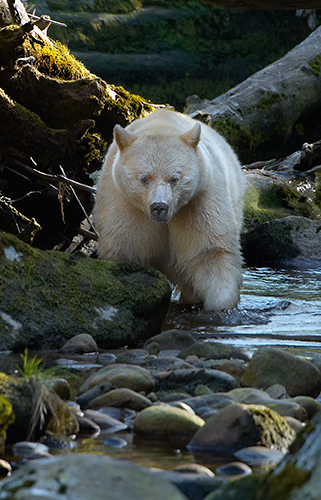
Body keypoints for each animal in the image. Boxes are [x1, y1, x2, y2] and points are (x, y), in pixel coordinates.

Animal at [94, 110, 244, 308]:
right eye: (144, 178)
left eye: (174, 178)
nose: (159, 207)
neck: (161, 125)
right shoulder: (125, 207)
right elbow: (125, 248)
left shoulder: (201, 201)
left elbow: (211, 252)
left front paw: (220, 305)